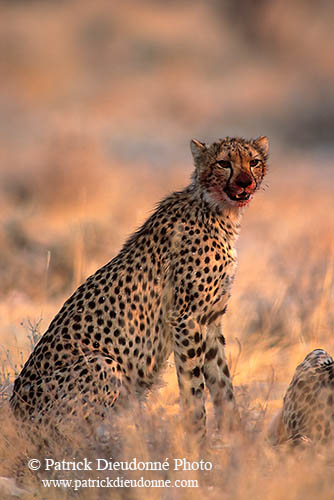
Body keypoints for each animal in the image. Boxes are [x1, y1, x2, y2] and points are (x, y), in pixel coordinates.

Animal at [11, 136, 268, 438]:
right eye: (223, 163)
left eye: (254, 162)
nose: (245, 183)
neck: (216, 209)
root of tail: (14, 410)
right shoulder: (186, 319)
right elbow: (193, 388)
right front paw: (198, 439)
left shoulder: (211, 320)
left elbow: (222, 384)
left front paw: (238, 438)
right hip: (102, 364)